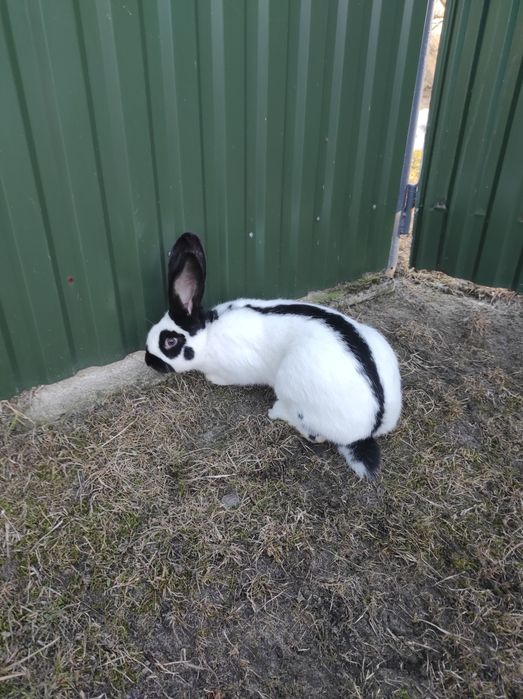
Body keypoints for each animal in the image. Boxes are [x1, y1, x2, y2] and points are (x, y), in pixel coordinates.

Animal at [145, 233, 402, 479]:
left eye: (170, 342)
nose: (149, 361)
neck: (208, 334)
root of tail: (371, 426)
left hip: (293, 386)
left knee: (314, 434)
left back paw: (277, 412)